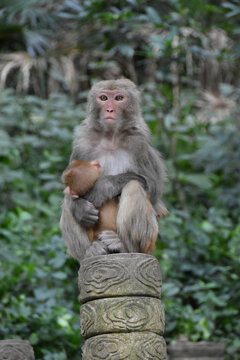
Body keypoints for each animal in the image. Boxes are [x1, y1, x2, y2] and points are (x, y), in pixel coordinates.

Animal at [60, 79, 167, 258]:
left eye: (118, 98)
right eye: (103, 98)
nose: (109, 109)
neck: (111, 137)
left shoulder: (139, 143)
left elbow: (153, 189)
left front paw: (103, 187)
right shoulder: (82, 143)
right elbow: (69, 190)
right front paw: (80, 209)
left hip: (149, 243)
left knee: (134, 186)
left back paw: (123, 246)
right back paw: (90, 250)